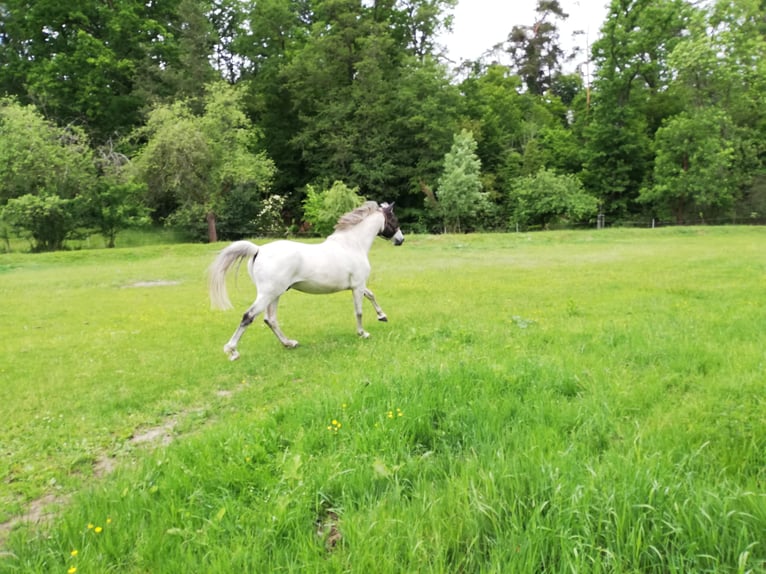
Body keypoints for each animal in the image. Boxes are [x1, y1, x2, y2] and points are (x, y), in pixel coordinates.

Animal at [208, 201, 404, 361]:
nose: (401, 240)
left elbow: (371, 295)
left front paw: (382, 316)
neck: (352, 245)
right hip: (268, 294)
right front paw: (363, 333)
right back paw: (232, 351)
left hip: (274, 294)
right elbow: (359, 311)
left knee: (270, 319)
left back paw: (289, 343)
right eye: (394, 220)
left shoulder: (358, 285)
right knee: (249, 316)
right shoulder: (357, 286)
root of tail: (258, 250)